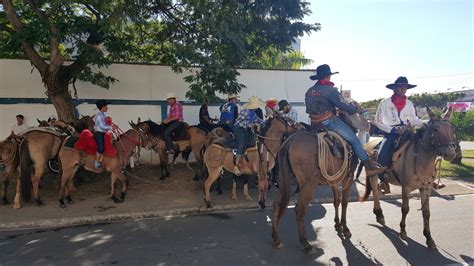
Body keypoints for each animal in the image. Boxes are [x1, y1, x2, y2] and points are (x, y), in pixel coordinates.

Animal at [270, 108, 370, 254]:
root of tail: (289, 142)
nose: (368, 125)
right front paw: (345, 228)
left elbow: (336, 201)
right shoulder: (348, 179)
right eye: (359, 110)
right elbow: (345, 203)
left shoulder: (334, 181)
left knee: (277, 204)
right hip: (308, 184)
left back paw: (276, 239)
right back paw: (306, 244)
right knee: (299, 209)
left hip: (284, 181)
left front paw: (337, 225)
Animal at [362, 107, 458, 248]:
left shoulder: (426, 188)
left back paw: (379, 214)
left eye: (452, 130)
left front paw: (429, 238)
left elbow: (426, 212)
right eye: (435, 129)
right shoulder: (406, 188)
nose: (450, 153)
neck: (421, 160)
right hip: (373, 174)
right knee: (375, 191)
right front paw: (402, 231)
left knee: (379, 189)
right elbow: (405, 209)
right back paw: (379, 214)